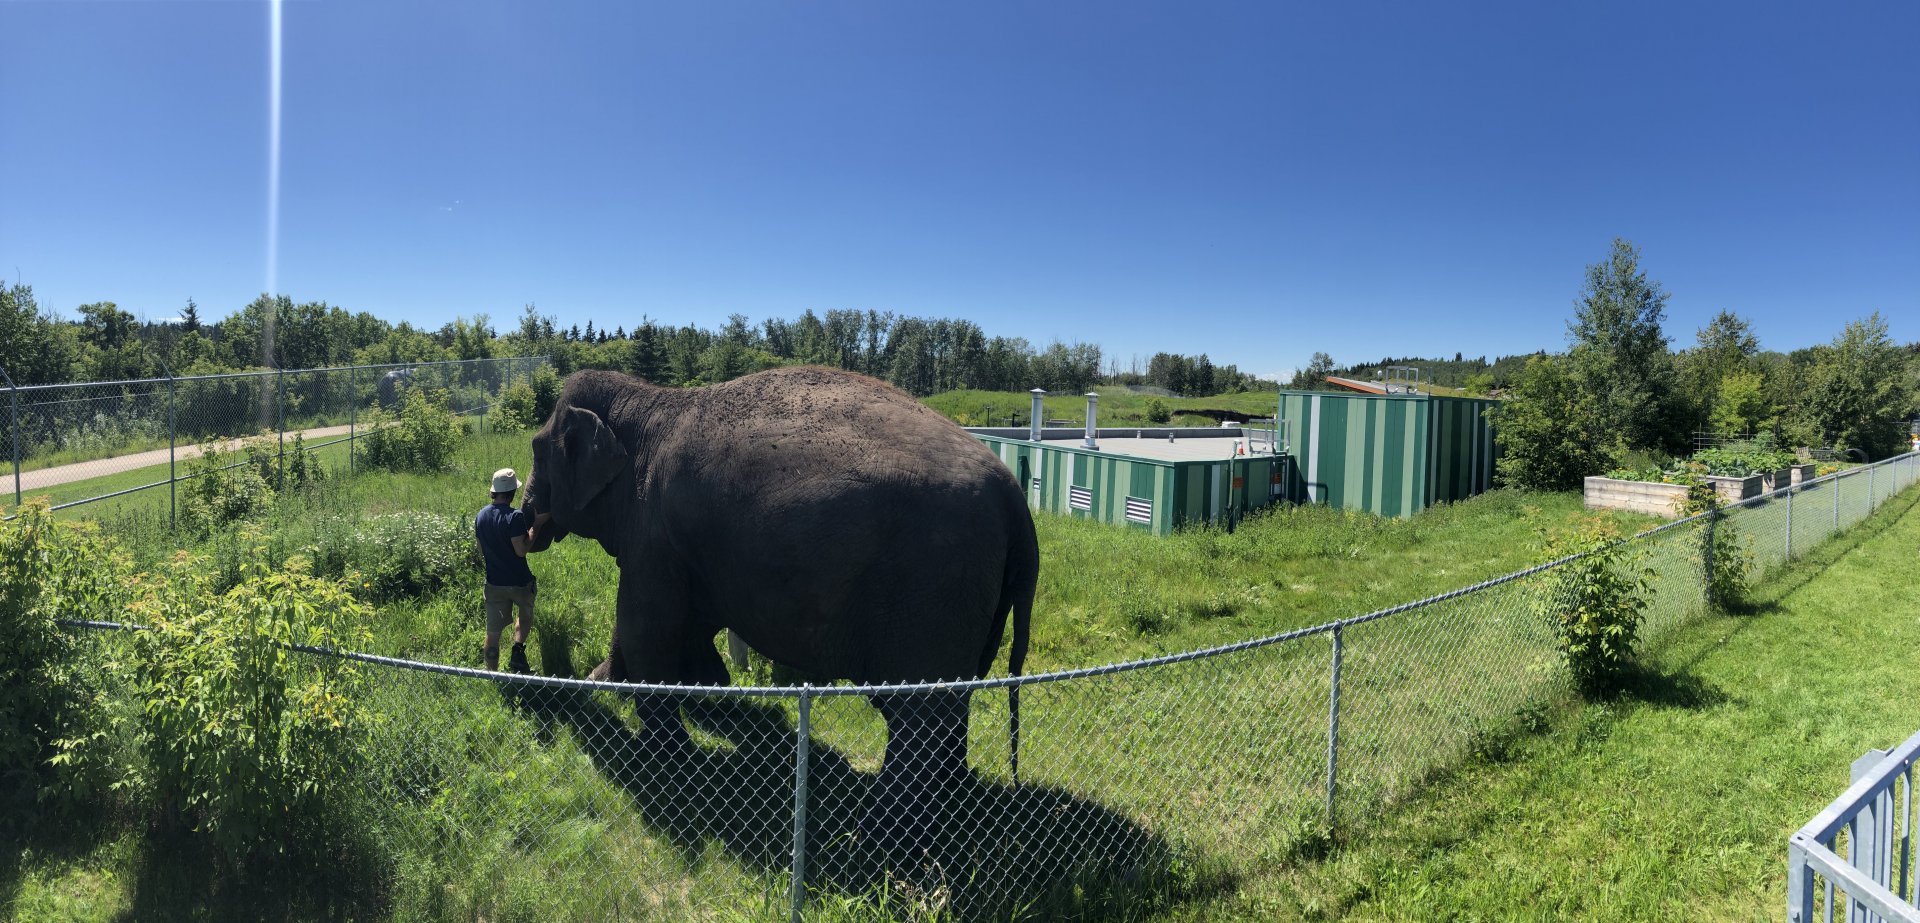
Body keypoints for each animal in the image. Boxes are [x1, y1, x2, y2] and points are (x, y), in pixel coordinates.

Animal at [520, 366, 1038, 855]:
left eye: (536, 451)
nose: (522, 517)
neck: (648, 401)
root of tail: (1014, 496)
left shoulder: (655, 529)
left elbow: (646, 624)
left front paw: (670, 757)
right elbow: (680, 621)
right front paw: (637, 687)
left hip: (930, 586)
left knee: (920, 716)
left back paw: (872, 837)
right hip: (973, 595)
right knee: (952, 703)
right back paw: (946, 810)